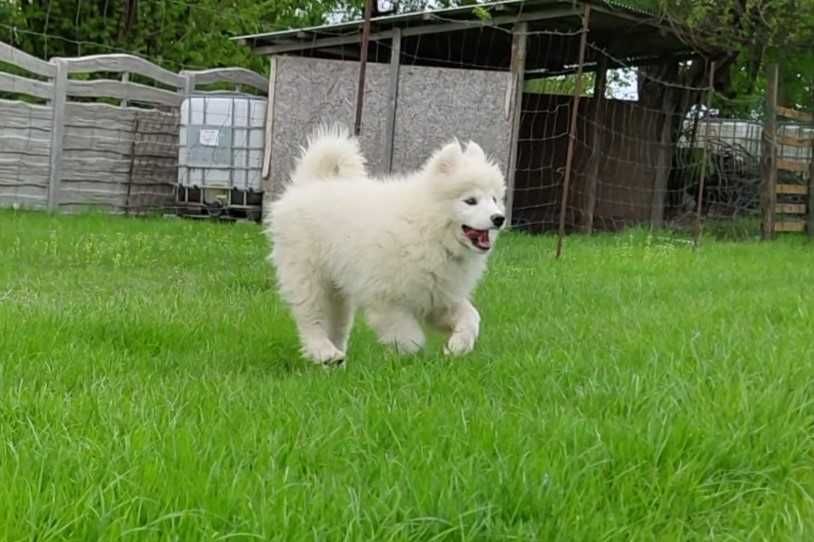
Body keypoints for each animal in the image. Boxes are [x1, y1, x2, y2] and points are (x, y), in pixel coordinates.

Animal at [264, 125, 506, 368]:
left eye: (494, 199)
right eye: (470, 201)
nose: (499, 218)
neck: (427, 227)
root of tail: (309, 183)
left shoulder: (438, 296)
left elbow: (471, 315)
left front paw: (458, 346)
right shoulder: (387, 299)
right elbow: (410, 336)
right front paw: (407, 358)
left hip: (339, 291)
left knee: (337, 325)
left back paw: (336, 363)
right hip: (307, 276)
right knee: (312, 319)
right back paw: (324, 352)